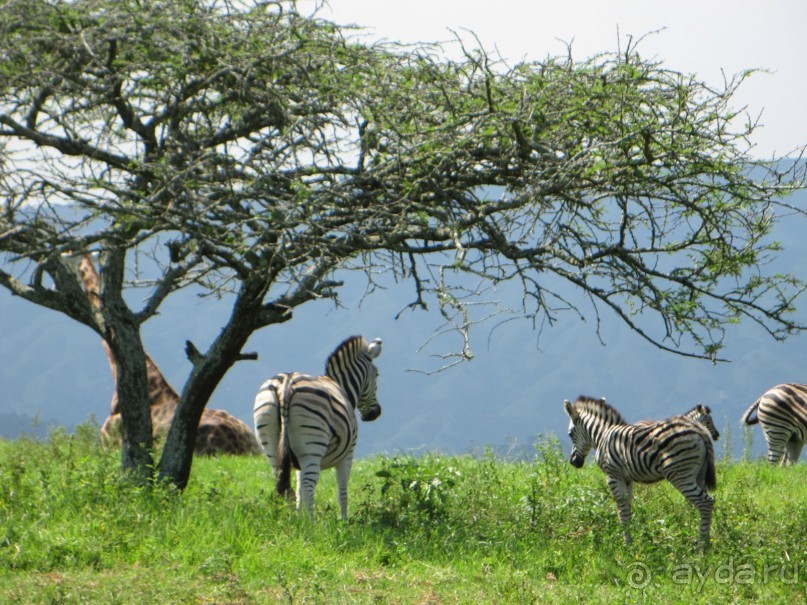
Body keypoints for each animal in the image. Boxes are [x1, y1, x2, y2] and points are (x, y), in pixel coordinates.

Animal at [254, 336, 384, 520]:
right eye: (377, 374)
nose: (375, 413)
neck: (341, 387)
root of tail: (285, 385)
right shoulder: (348, 453)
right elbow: (342, 490)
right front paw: (344, 521)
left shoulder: (297, 461)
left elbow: (299, 490)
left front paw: (299, 517)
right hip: (312, 447)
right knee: (309, 485)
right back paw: (311, 524)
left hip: (270, 440)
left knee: (284, 486)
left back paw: (287, 521)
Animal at [560, 394, 720, 548]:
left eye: (569, 434)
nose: (573, 461)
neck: (603, 435)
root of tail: (699, 430)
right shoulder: (627, 479)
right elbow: (627, 510)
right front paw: (631, 542)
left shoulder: (613, 475)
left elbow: (621, 511)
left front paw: (626, 546)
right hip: (699, 475)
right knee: (701, 505)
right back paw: (705, 542)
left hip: (680, 474)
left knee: (706, 503)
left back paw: (702, 547)